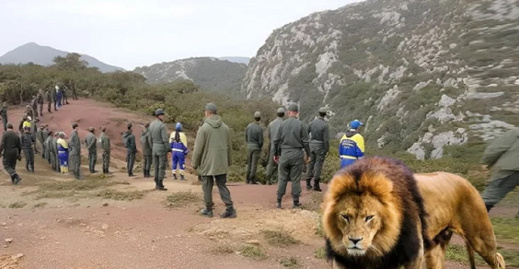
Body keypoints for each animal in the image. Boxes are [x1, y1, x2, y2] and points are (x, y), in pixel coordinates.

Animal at [322, 155, 506, 268]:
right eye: (345, 216)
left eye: (369, 217)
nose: (354, 240)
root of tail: (467, 181)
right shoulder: (344, 260)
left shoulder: (414, 254)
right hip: (436, 247)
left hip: (481, 238)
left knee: (498, 258)